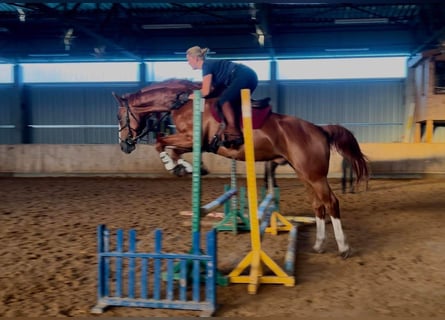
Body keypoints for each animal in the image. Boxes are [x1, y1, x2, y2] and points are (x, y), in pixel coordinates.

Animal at [113, 79, 368, 258]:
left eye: (118, 115)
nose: (124, 145)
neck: (185, 102)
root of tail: (319, 129)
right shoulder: (192, 142)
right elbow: (169, 147)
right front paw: (184, 167)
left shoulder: (192, 139)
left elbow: (160, 143)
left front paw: (174, 166)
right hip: (304, 174)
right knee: (318, 205)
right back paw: (318, 245)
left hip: (314, 175)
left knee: (331, 203)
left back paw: (344, 248)